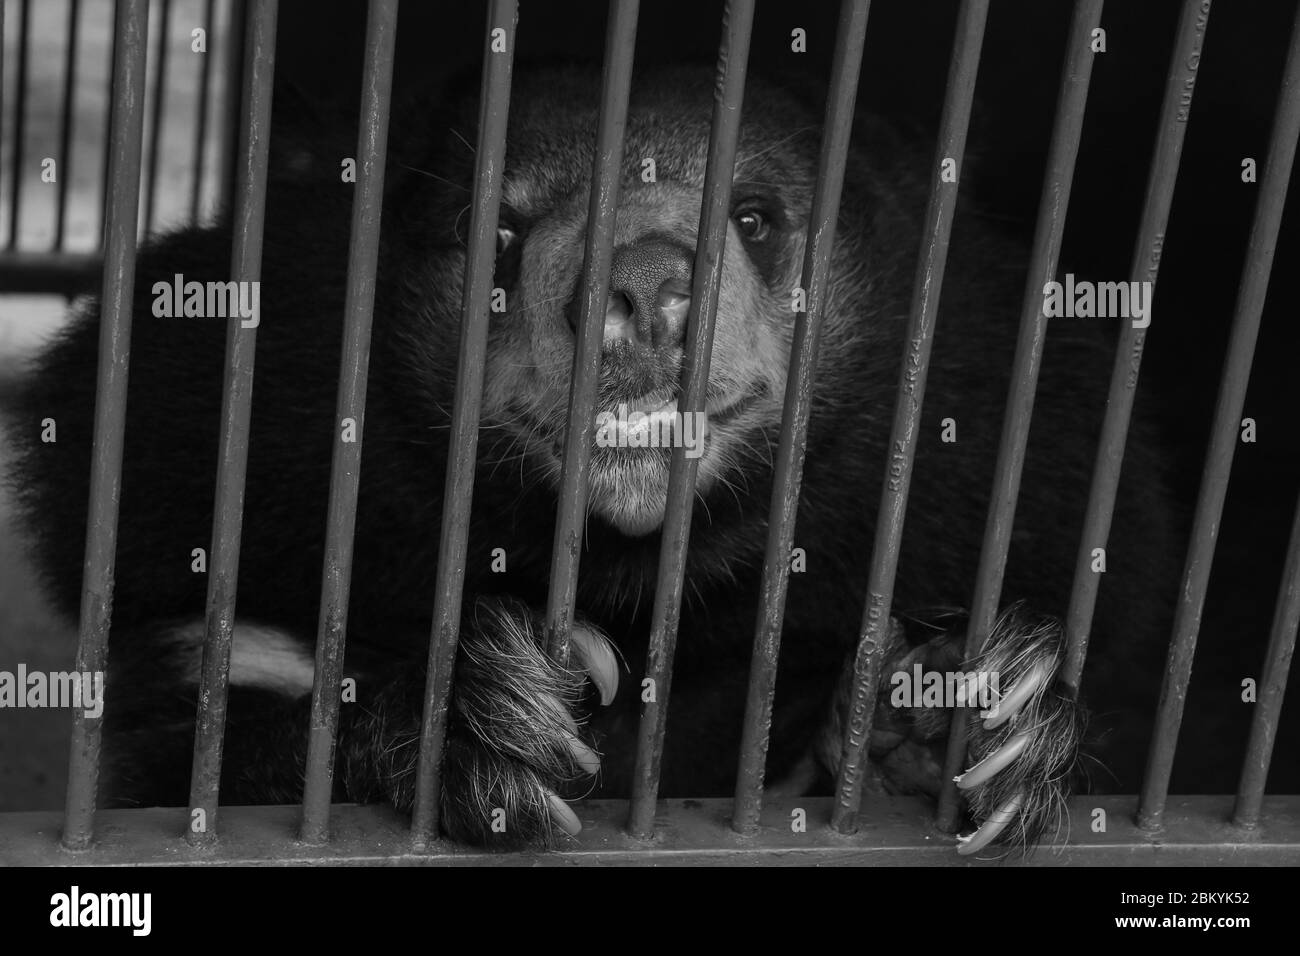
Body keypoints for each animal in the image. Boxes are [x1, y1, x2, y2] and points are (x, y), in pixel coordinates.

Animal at [2, 65, 1180, 853]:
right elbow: (187, 772)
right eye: (498, 234)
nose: (648, 290)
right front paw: (487, 718)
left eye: (756, 217)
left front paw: (968, 715)